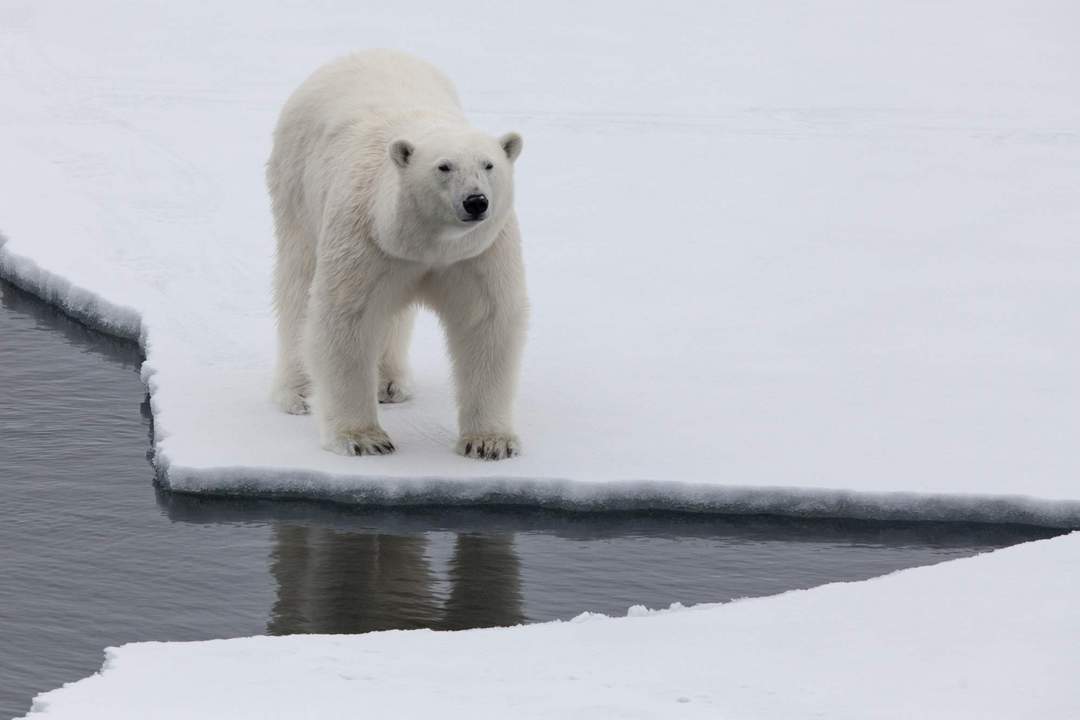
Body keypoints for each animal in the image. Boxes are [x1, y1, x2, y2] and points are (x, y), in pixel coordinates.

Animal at [265, 50, 527, 459]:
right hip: (296, 189)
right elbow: (345, 320)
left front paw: (490, 442)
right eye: (444, 167)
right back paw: (298, 391)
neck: (427, 243)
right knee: (297, 283)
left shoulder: (476, 254)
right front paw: (363, 438)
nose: (475, 201)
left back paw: (390, 384)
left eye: (489, 165)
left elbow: (487, 322)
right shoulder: (367, 238)